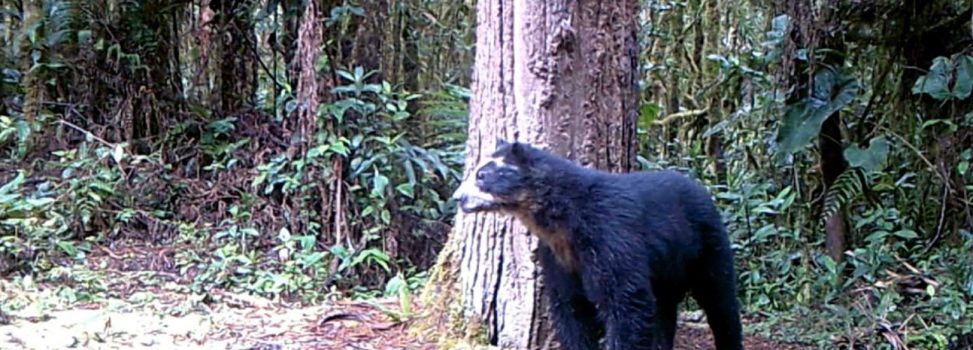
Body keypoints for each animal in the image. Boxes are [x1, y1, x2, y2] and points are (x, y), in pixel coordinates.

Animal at [452, 139, 740, 350]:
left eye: (482, 174)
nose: (457, 197)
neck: (562, 221)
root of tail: (701, 188)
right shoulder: (557, 254)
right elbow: (569, 306)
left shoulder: (610, 238)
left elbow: (625, 302)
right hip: (668, 268)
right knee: (664, 312)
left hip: (707, 245)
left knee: (720, 300)